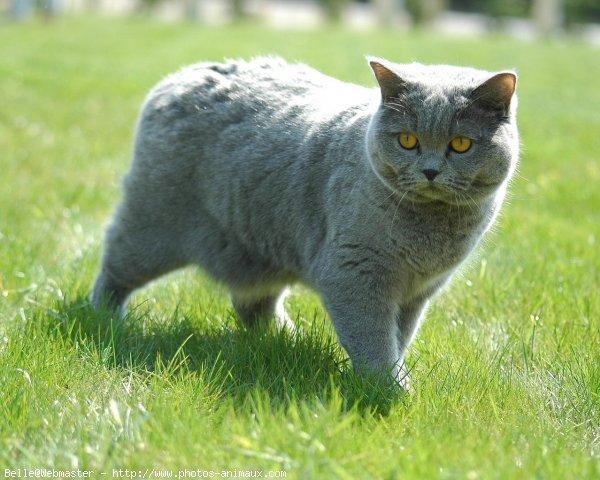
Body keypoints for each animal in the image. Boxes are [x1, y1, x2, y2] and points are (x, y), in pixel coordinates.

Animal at [91, 56, 516, 388]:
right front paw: (390, 388)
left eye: (461, 144)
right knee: (115, 260)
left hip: (259, 246)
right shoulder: (355, 270)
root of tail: (184, 74)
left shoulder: (419, 290)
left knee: (252, 301)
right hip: (153, 221)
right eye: (407, 140)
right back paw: (103, 316)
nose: (429, 171)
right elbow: (373, 335)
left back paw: (286, 339)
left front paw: (392, 379)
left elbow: (399, 334)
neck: (432, 229)